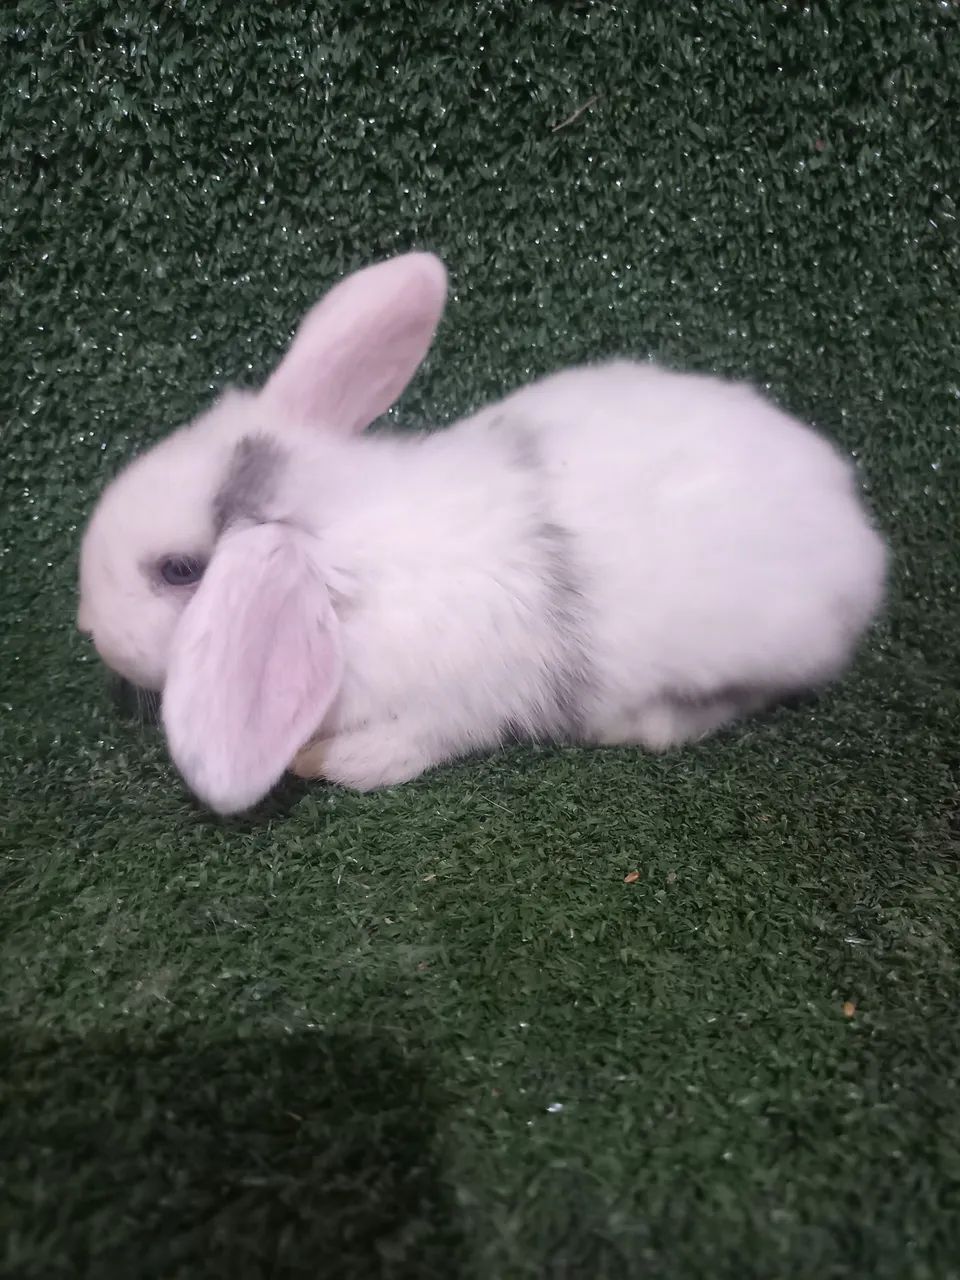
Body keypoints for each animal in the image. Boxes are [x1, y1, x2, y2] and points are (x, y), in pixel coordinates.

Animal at [77, 251, 888, 815]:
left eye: (178, 570)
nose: (88, 625)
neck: (342, 565)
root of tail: (861, 538)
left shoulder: (450, 707)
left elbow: (400, 749)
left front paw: (326, 762)